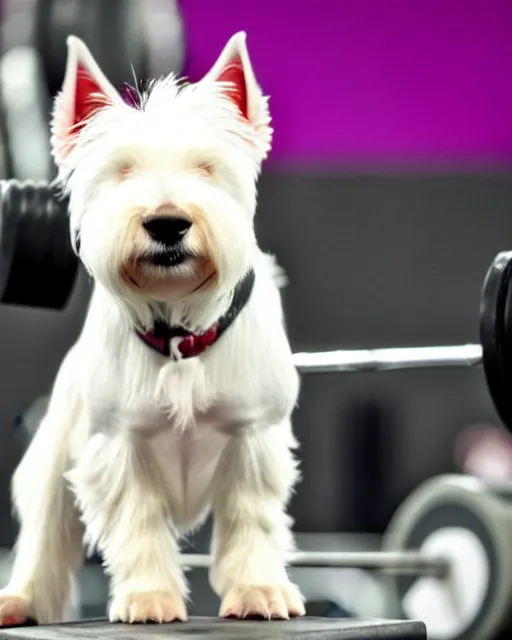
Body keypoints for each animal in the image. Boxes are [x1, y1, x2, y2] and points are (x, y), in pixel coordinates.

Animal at [0, 32, 304, 628]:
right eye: (122, 171)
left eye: (207, 168)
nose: (167, 222)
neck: (180, 331)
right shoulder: (119, 443)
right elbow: (137, 521)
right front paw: (148, 598)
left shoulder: (253, 435)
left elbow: (250, 517)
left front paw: (258, 590)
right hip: (53, 453)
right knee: (44, 533)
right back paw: (18, 601)